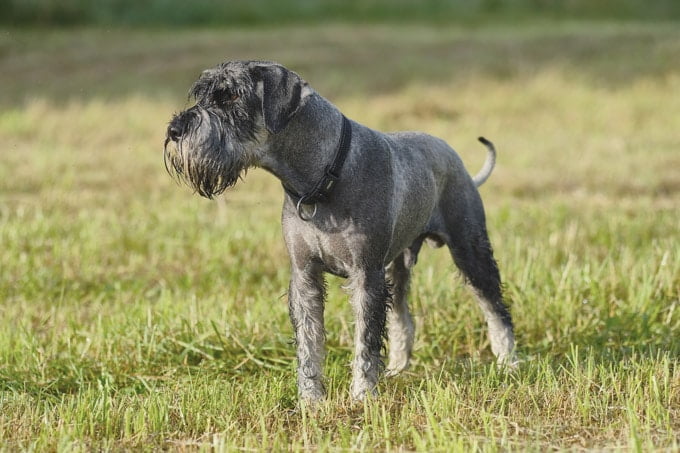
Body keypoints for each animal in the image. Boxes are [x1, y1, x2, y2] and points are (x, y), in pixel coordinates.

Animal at [165, 60, 516, 400]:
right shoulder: (304, 275)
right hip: (398, 265)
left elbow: (366, 340)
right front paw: (311, 400)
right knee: (403, 317)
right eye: (201, 93)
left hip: (470, 250)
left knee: (495, 308)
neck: (324, 177)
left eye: (231, 96)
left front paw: (362, 395)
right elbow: (309, 342)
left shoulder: (366, 275)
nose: (174, 130)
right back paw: (397, 369)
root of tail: (454, 156)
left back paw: (508, 364)